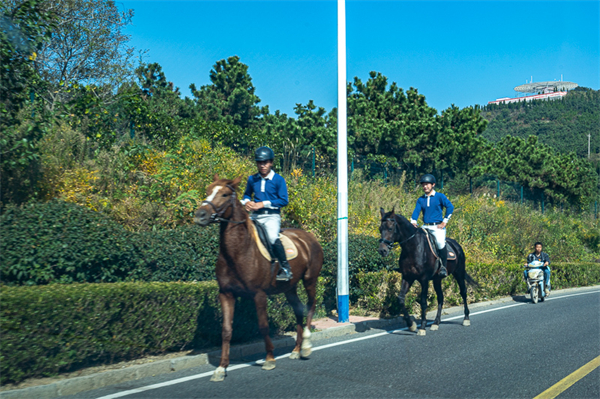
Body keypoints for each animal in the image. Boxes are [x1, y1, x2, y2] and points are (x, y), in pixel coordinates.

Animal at [195, 177, 324, 382]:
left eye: (224, 194)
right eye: (208, 191)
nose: (200, 215)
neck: (238, 251)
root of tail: (309, 237)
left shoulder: (259, 294)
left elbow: (263, 326)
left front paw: (269, 359)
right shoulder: (226, 294)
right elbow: (226, 330)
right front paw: (221, 368)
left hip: (310, 280)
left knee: (311, 305)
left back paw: (306, 346)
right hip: (289, 288)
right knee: (298, 311)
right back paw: (296, 350)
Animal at [376, 208, 478, 336]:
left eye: (390, 228)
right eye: (380, 229)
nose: (382, 250)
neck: (413, 248)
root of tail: (456, 245)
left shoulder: (424, 279)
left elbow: (423, 302)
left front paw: (422, 327)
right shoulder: (407, 277)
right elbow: (400, 299)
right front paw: (411, 325)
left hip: (459, 273)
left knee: (463, 292)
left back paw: (466, 319)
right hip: (437, 279)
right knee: (440, 297)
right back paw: (436, 323)